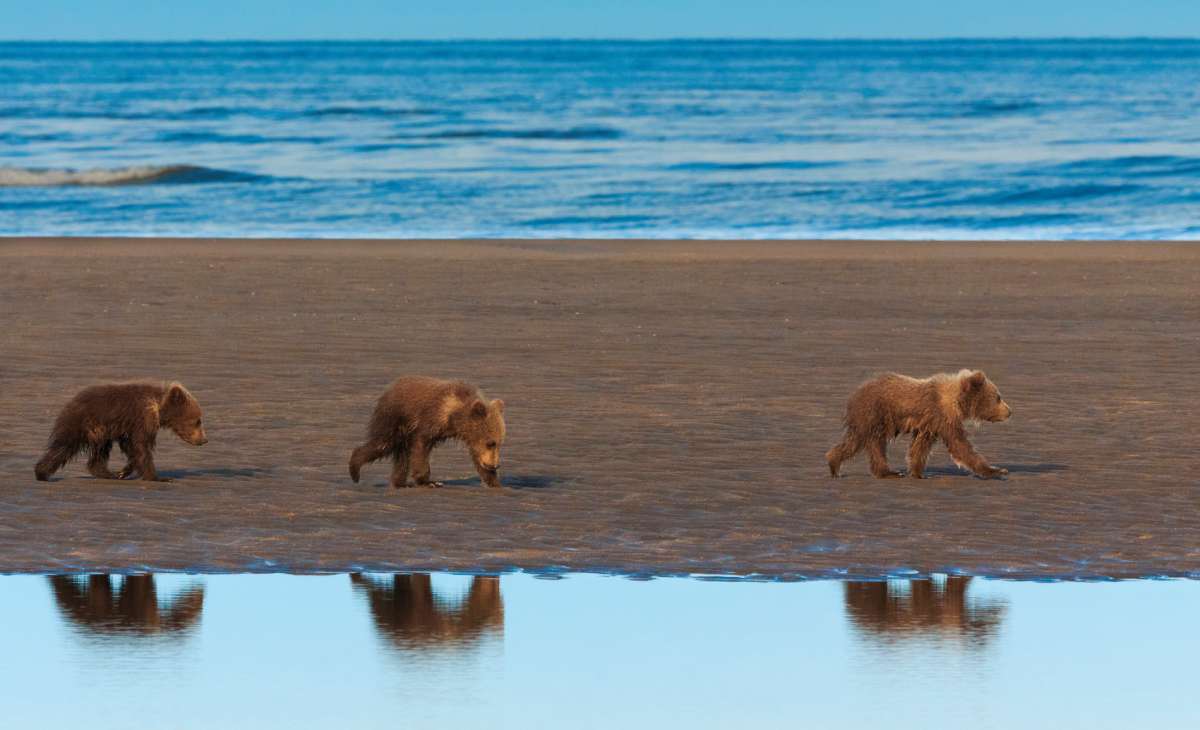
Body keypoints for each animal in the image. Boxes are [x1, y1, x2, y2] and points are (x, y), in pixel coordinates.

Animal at [34, 381, 207, 482]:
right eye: (197, 421)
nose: (204, 440)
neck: (158, 407)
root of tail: (70, 403)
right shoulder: (141, 418)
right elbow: (141, 447)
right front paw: (157, 477)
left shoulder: (130, 428)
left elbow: (133, 448)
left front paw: (123, 471)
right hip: (81, 424)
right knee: (63, 447)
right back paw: (41, 473)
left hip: (100, 432)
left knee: (100, 452)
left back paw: (108, 473)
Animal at [348, 376, 506, 489]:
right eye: (490, 443)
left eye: (499, 443)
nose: (495, 465)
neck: (454, 417)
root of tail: (390, 388)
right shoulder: (429, 420)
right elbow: (420, 448)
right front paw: (428, 481)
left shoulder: (469, 436)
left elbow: (477, 456)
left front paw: (494, 481)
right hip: (393, 418)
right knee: (382, 443)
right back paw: (355, 470)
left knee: (401, 456)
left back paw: (400, 483)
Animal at [826, 369, 1011, 479]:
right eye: (998, 397)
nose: (1009, 411)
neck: (956, 401)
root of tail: (854, 394)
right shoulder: (942, 417)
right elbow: (960, 445)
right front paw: (996, 470)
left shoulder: (929, 425)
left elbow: (920, 447)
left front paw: (917, 472)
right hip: (874, 414)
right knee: (869, 444)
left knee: (859, 442)